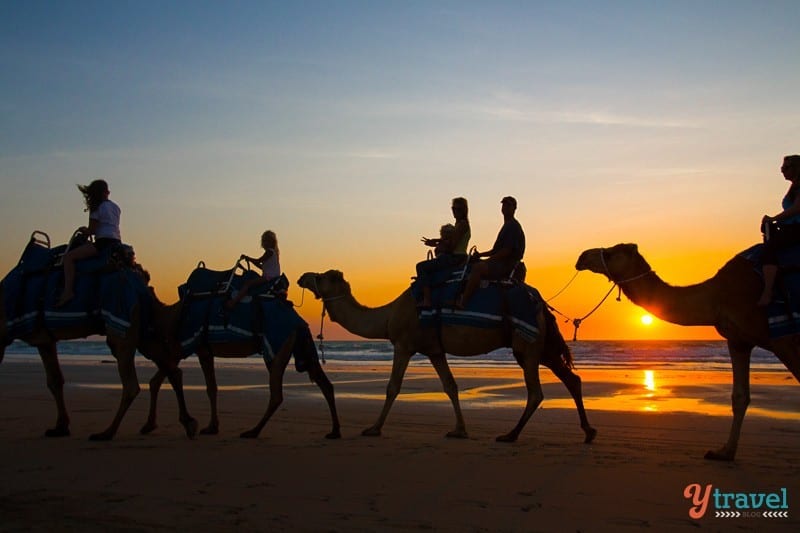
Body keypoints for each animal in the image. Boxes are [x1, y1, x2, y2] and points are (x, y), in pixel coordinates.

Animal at [0, 274, 198, 440]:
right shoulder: (44, 339)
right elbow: (55, 380)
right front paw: (60, 427)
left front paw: (61, 427)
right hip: (142, 333)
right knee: (169, 371)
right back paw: (182, 423)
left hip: (125, 330)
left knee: (133, 384)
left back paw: (107, 432)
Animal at [137, 294, 340, 438]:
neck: (170, 316)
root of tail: (299, 322)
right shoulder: (188, 350)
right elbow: (158, 381)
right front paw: (149, 425)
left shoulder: (191, 346)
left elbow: (202, 384)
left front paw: (203, 426)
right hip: (300, 346)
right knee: (324, 384)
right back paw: (334, 431)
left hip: (277, 348)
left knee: (277, 394)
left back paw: (253, 431)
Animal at [296, 268, 596, 442]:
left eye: (320, 277)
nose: (302, 276)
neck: (389, 315)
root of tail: (540, 303)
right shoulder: (435, 350)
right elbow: (450, 386)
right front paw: (459, 429)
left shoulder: (403, 344)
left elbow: (393, 387)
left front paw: (373, 428)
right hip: (542, 346)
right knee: (571, 379)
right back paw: (589, 432)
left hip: (526, 343)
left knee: (536, 391)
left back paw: (510, 435)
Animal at [576, 243, 800, 460]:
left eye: (611, 253)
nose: (582, 257)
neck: (717, 297)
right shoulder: (738, 341)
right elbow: (739, 396)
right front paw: (724, 452)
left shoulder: (783, 339)